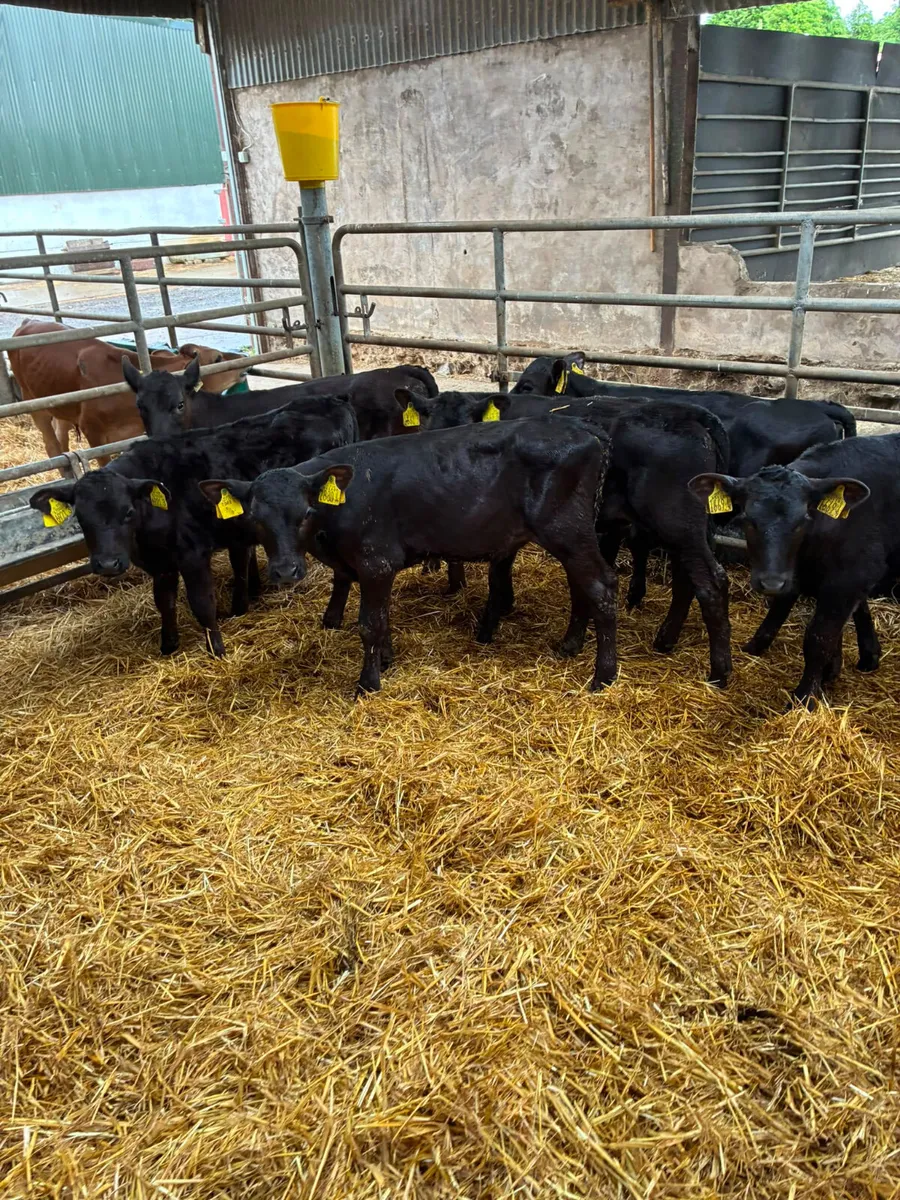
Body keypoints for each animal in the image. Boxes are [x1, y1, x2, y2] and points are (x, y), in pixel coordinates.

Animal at [29, 396, 357, 657]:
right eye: (81, 517)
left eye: (128, 512)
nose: (109, 564)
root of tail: (331, 401)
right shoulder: (161, 563)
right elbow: (164, 601)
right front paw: (168, 645)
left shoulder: (192, 554)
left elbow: (201, 603)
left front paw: (217, 649)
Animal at [199, 417, 619, 696]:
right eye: (255, 519)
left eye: (305, 513)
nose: (286, 571)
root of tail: (587, 431)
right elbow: (382, 620)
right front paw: (386, 660)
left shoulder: (376, 562)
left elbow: (369, 624)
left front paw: (368, 684)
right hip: (571, 535)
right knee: (581, 587)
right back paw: (569, 646)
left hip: (566, 530)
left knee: (602, 587)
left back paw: (603, 675)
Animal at [688, 434, 900, 704]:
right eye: (747, 519)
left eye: (802, 521)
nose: (770, 583)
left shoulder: (852, 574)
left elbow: (819, 637)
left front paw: (805, 697)